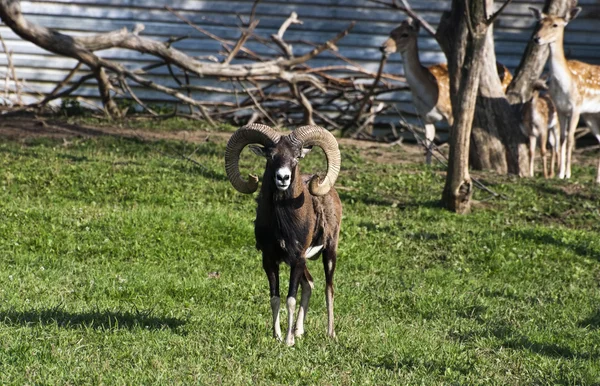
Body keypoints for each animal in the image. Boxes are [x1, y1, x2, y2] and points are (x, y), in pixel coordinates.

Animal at [382, 18, 512, 164]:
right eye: (391, 32)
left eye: (405, 34)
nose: (383, 47)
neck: (428, 94)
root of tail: (510, 73)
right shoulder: (425, 116)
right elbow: (429, 143)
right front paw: (428, 165)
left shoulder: (450, 113)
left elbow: (452, 142)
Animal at [528, 6, 600, 184]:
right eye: (539, 22)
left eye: (555, 25)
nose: (536, 38)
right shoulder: (560, 109)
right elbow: (562, 139)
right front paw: (560, 174)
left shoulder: (576, 107)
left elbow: (570, 139)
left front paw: (567, 173)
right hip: (591, 115)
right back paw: (597, 179)